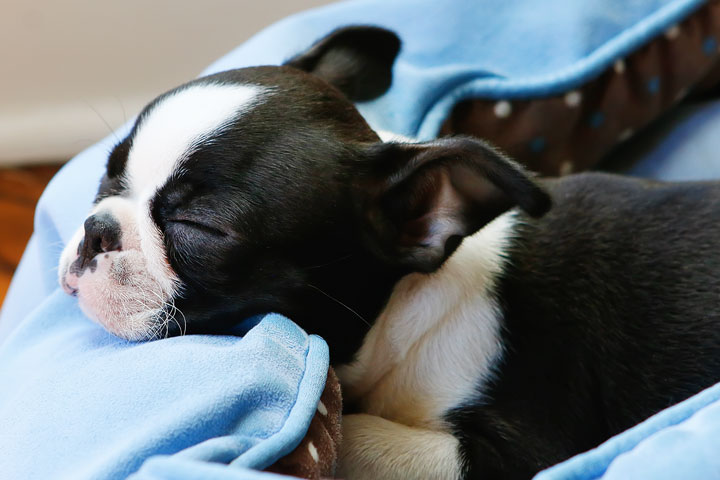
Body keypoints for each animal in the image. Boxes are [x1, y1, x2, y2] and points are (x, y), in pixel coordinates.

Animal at [57, 27, 720, 480]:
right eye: (109, 176)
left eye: (199, 227)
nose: (96, 230)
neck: (405, 313)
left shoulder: (528, 449)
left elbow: (358, 434)